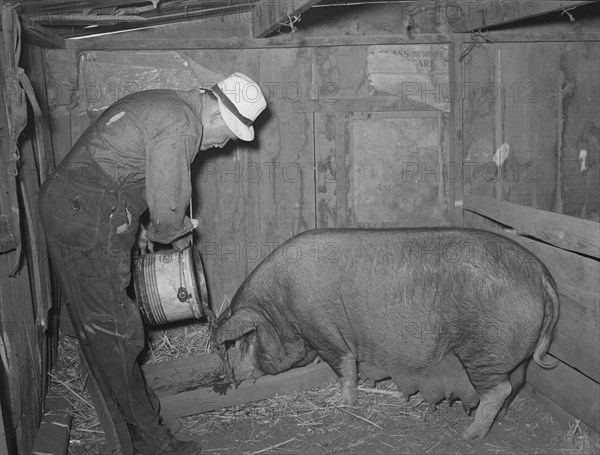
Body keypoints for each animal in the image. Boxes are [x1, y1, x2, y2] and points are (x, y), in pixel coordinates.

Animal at [214, 228, 556, 442]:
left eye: (245, 340)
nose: (234, 376)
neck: (280, 304)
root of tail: (540, 274)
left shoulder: (321, 328)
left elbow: (344, 364)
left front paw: (345, 404)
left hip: (485, 347)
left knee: (498, 389)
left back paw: (469, 435)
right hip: (510, 354)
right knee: (515, 383)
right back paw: (501, 417)